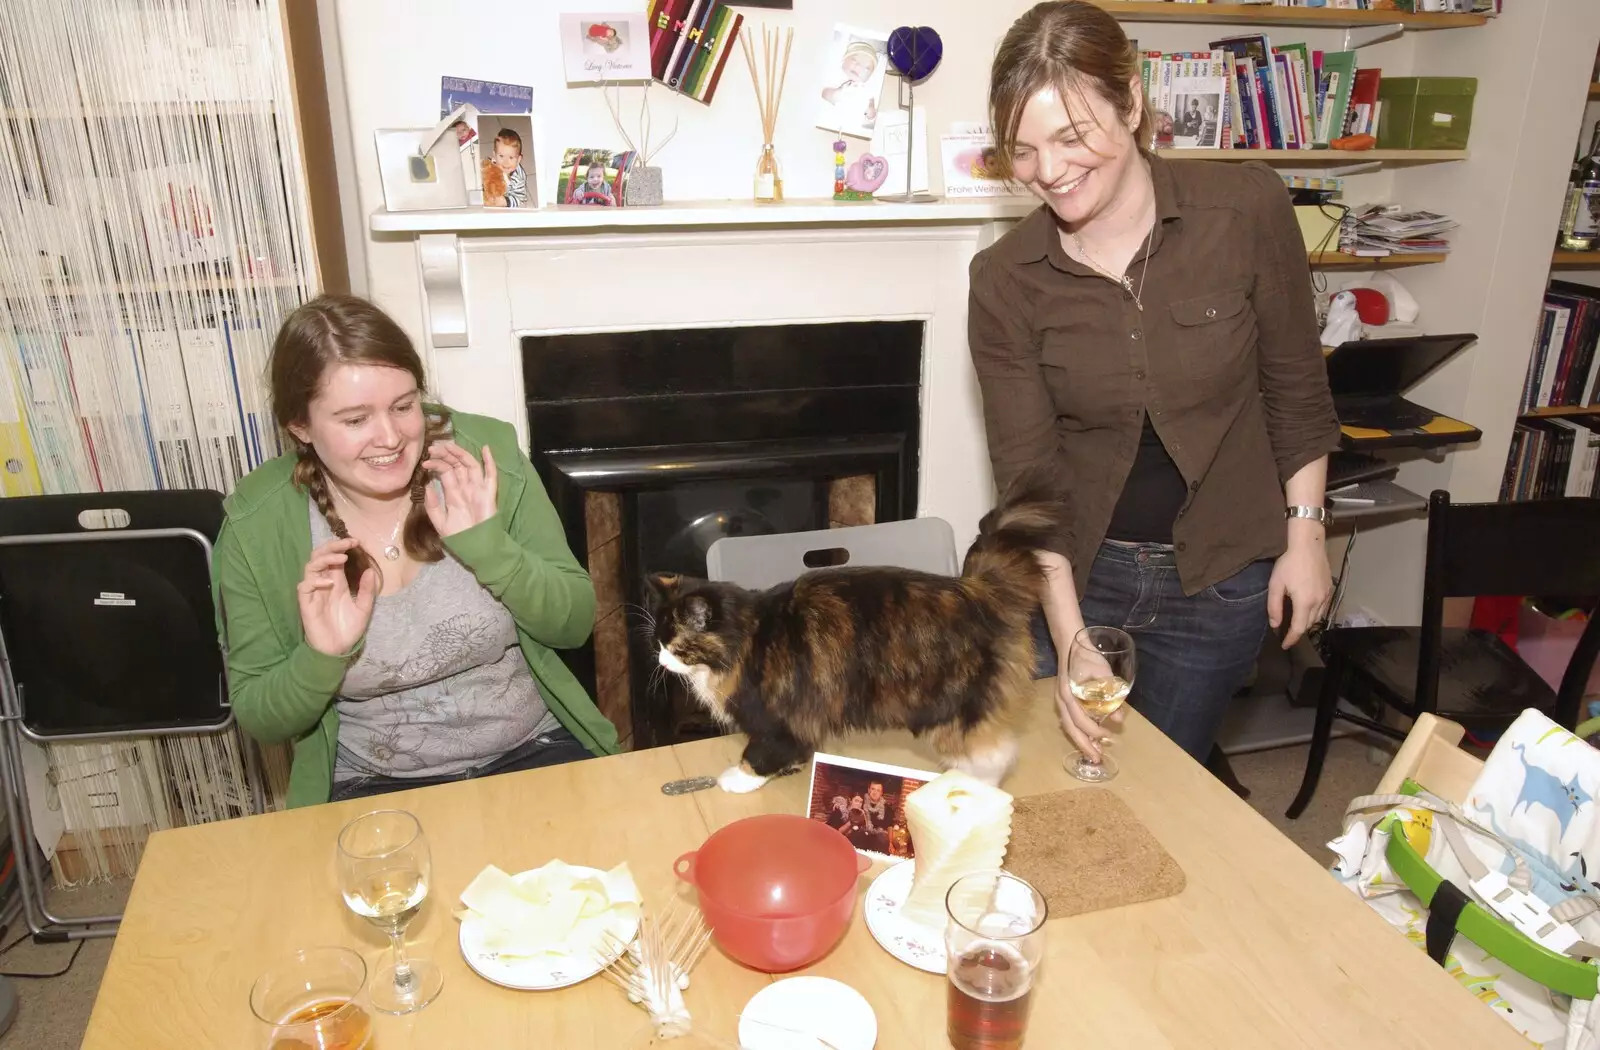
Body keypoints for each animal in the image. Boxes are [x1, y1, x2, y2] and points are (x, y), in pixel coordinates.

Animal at [643, 496, 1056, 790]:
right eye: (658, 644)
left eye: (676, 647)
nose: (661, 663)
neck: (749, 635)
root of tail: (979, 591)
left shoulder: (778, 718)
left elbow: (759, 753)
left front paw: (738, 779)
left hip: (949, 708)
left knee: (996, 755)